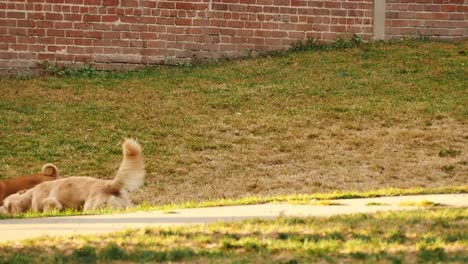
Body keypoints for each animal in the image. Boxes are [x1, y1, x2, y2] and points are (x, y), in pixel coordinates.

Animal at [0, 138, 144, 214]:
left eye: (5, 205)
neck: (30, 195)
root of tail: (109, 185)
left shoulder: (51, 201)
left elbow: (50, 206)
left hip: (91, 206)